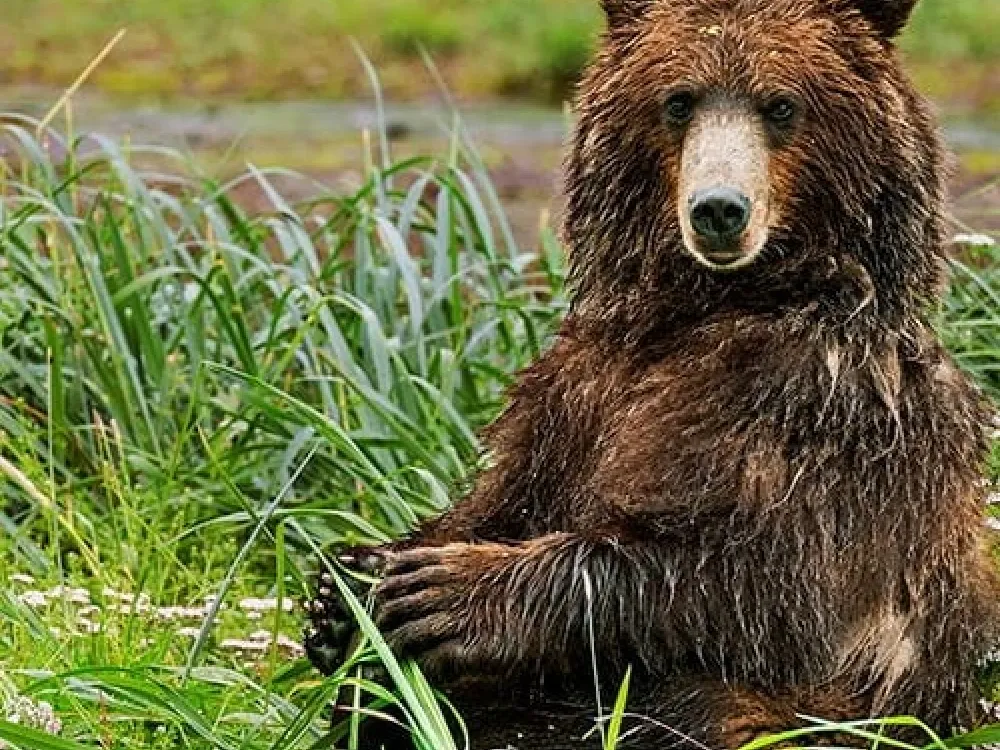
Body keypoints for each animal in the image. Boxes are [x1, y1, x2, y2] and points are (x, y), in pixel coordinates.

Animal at [304, 0, 1000, 747]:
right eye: (679, 100)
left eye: (781, 104)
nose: (719, 209)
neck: (706, 307)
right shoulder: (578, 391)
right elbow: (506, 498)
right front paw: (344, 593)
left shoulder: (820, 403)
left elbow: (759, 581)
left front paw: (446, 592)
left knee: (685, 706)